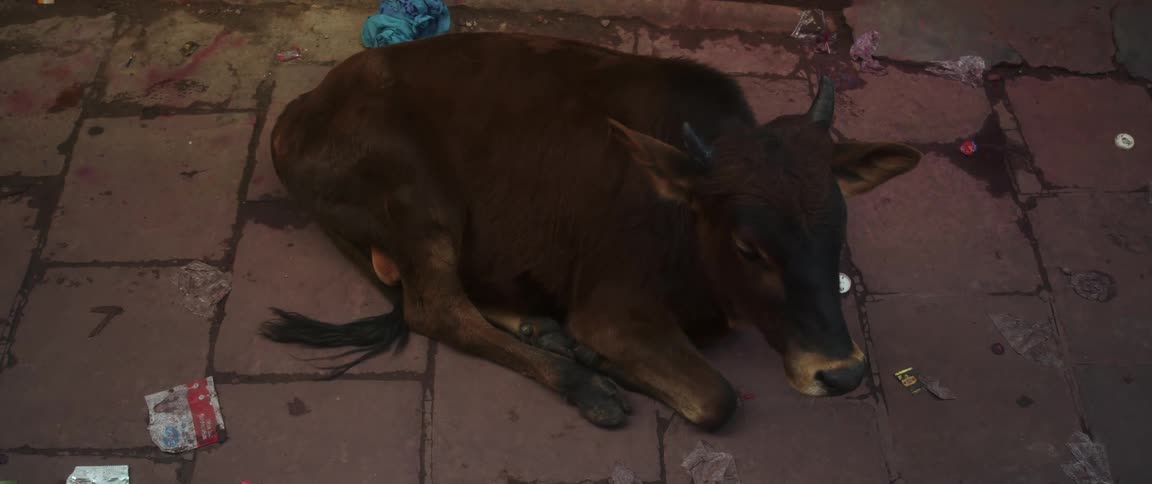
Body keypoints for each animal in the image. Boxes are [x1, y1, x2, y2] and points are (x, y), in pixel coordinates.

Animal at [262, 32, 921, 430]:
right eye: (748, 248)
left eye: (837, 227)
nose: (840, 373)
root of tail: (296, 112)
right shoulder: (612, 307)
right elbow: (717, 400)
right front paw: (594, 361)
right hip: (419, 200)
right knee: (438, 310)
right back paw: (581, 380)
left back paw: (540, 328)